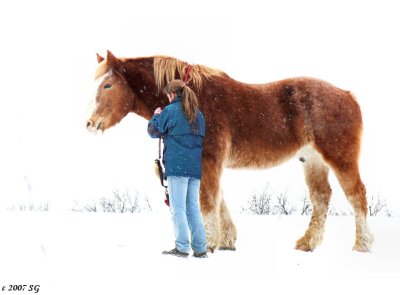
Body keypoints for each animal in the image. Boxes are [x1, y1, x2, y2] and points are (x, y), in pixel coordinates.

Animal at [86, 50, 374, 252]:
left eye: (108, 85)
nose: (90, 123)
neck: (193, 98)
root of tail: (348, 96)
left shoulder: (209, 159)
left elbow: (208, 201)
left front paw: (209, 244)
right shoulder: (208, 163)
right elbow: (218, 199)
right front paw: (226, 240)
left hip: (340, 158)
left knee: (356, 195)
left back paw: (362, 244)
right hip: (313, 161)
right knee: (321, 198)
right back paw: (307, 243)